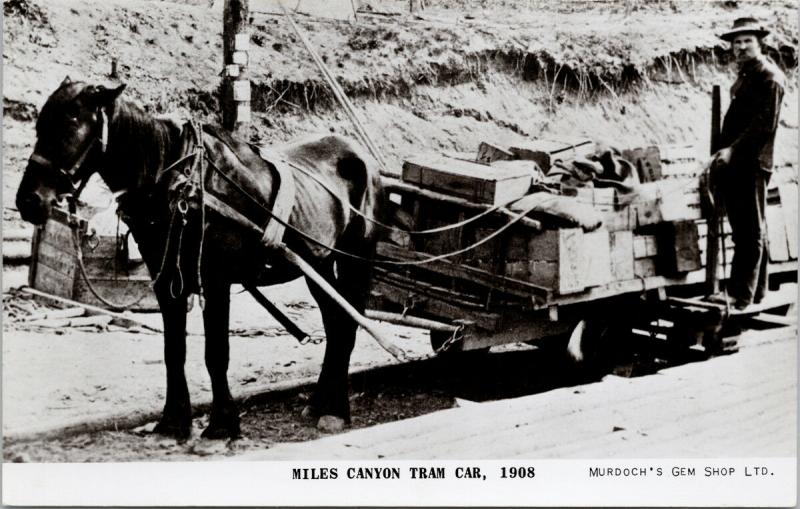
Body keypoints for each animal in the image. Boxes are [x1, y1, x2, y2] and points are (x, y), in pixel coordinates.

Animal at [15, 77, 384, 438]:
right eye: (40, 124)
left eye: (71, 123)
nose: (28, 200)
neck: (181, 182)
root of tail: (361, 156)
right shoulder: (167, 279)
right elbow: (173, 351)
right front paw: (173, 421)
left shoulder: (216, 280)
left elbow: (216, 353)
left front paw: (222, 424)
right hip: (317, 266)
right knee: (335, 324)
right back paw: (321, 402)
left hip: (355, 260)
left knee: (348, 326)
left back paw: (336, 410)